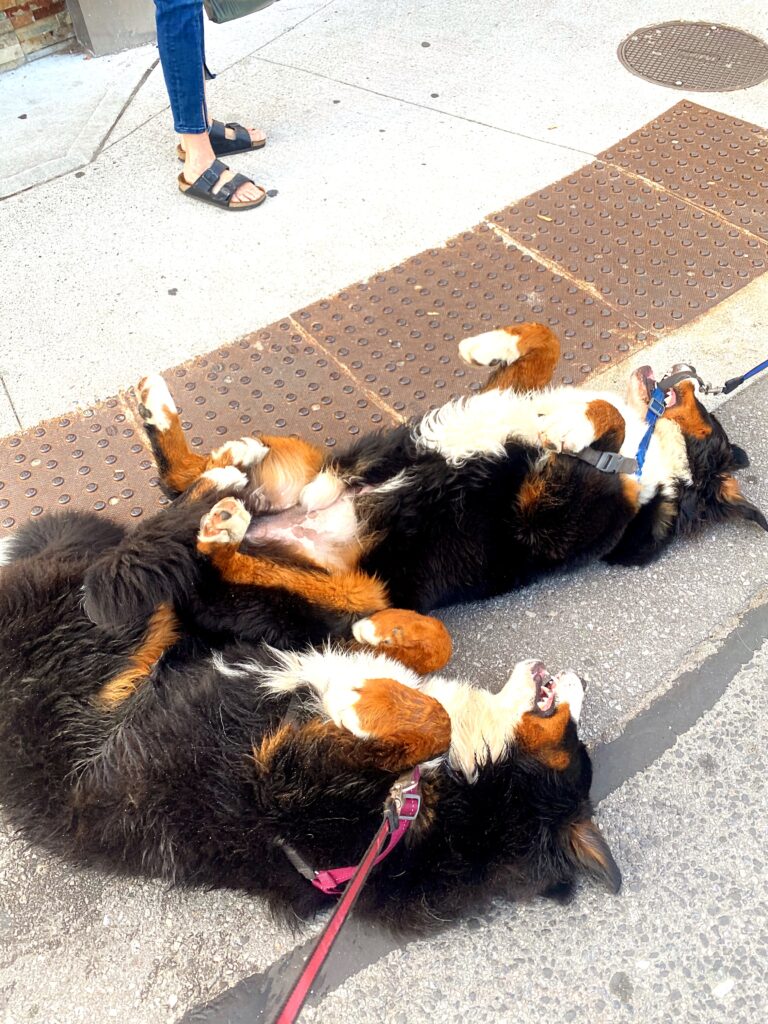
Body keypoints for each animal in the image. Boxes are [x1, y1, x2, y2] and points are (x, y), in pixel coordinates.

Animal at [0, 512, 618, 929]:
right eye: (576, 735)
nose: (583, 681)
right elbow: (421, 644)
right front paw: (383, 630)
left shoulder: (276, 776)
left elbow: (431, 717)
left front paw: (365, 697)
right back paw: (218, 525)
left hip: (100, 631)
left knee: (119, 577)